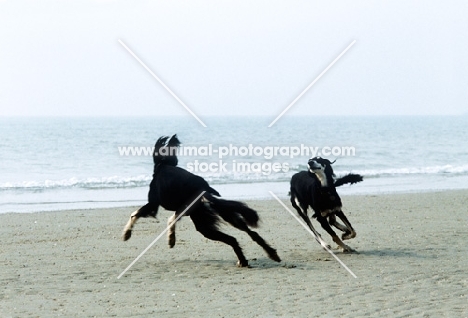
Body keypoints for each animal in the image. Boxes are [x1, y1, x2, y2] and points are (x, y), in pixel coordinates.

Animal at [122, 135, 280, 268]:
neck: (163, 165)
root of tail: (202, 188)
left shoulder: (153, 205)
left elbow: (135, 214)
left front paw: (127, 233)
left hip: (198, 218)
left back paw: (171, 238)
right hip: (217, 218)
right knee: (246, 235)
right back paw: (264, 255)